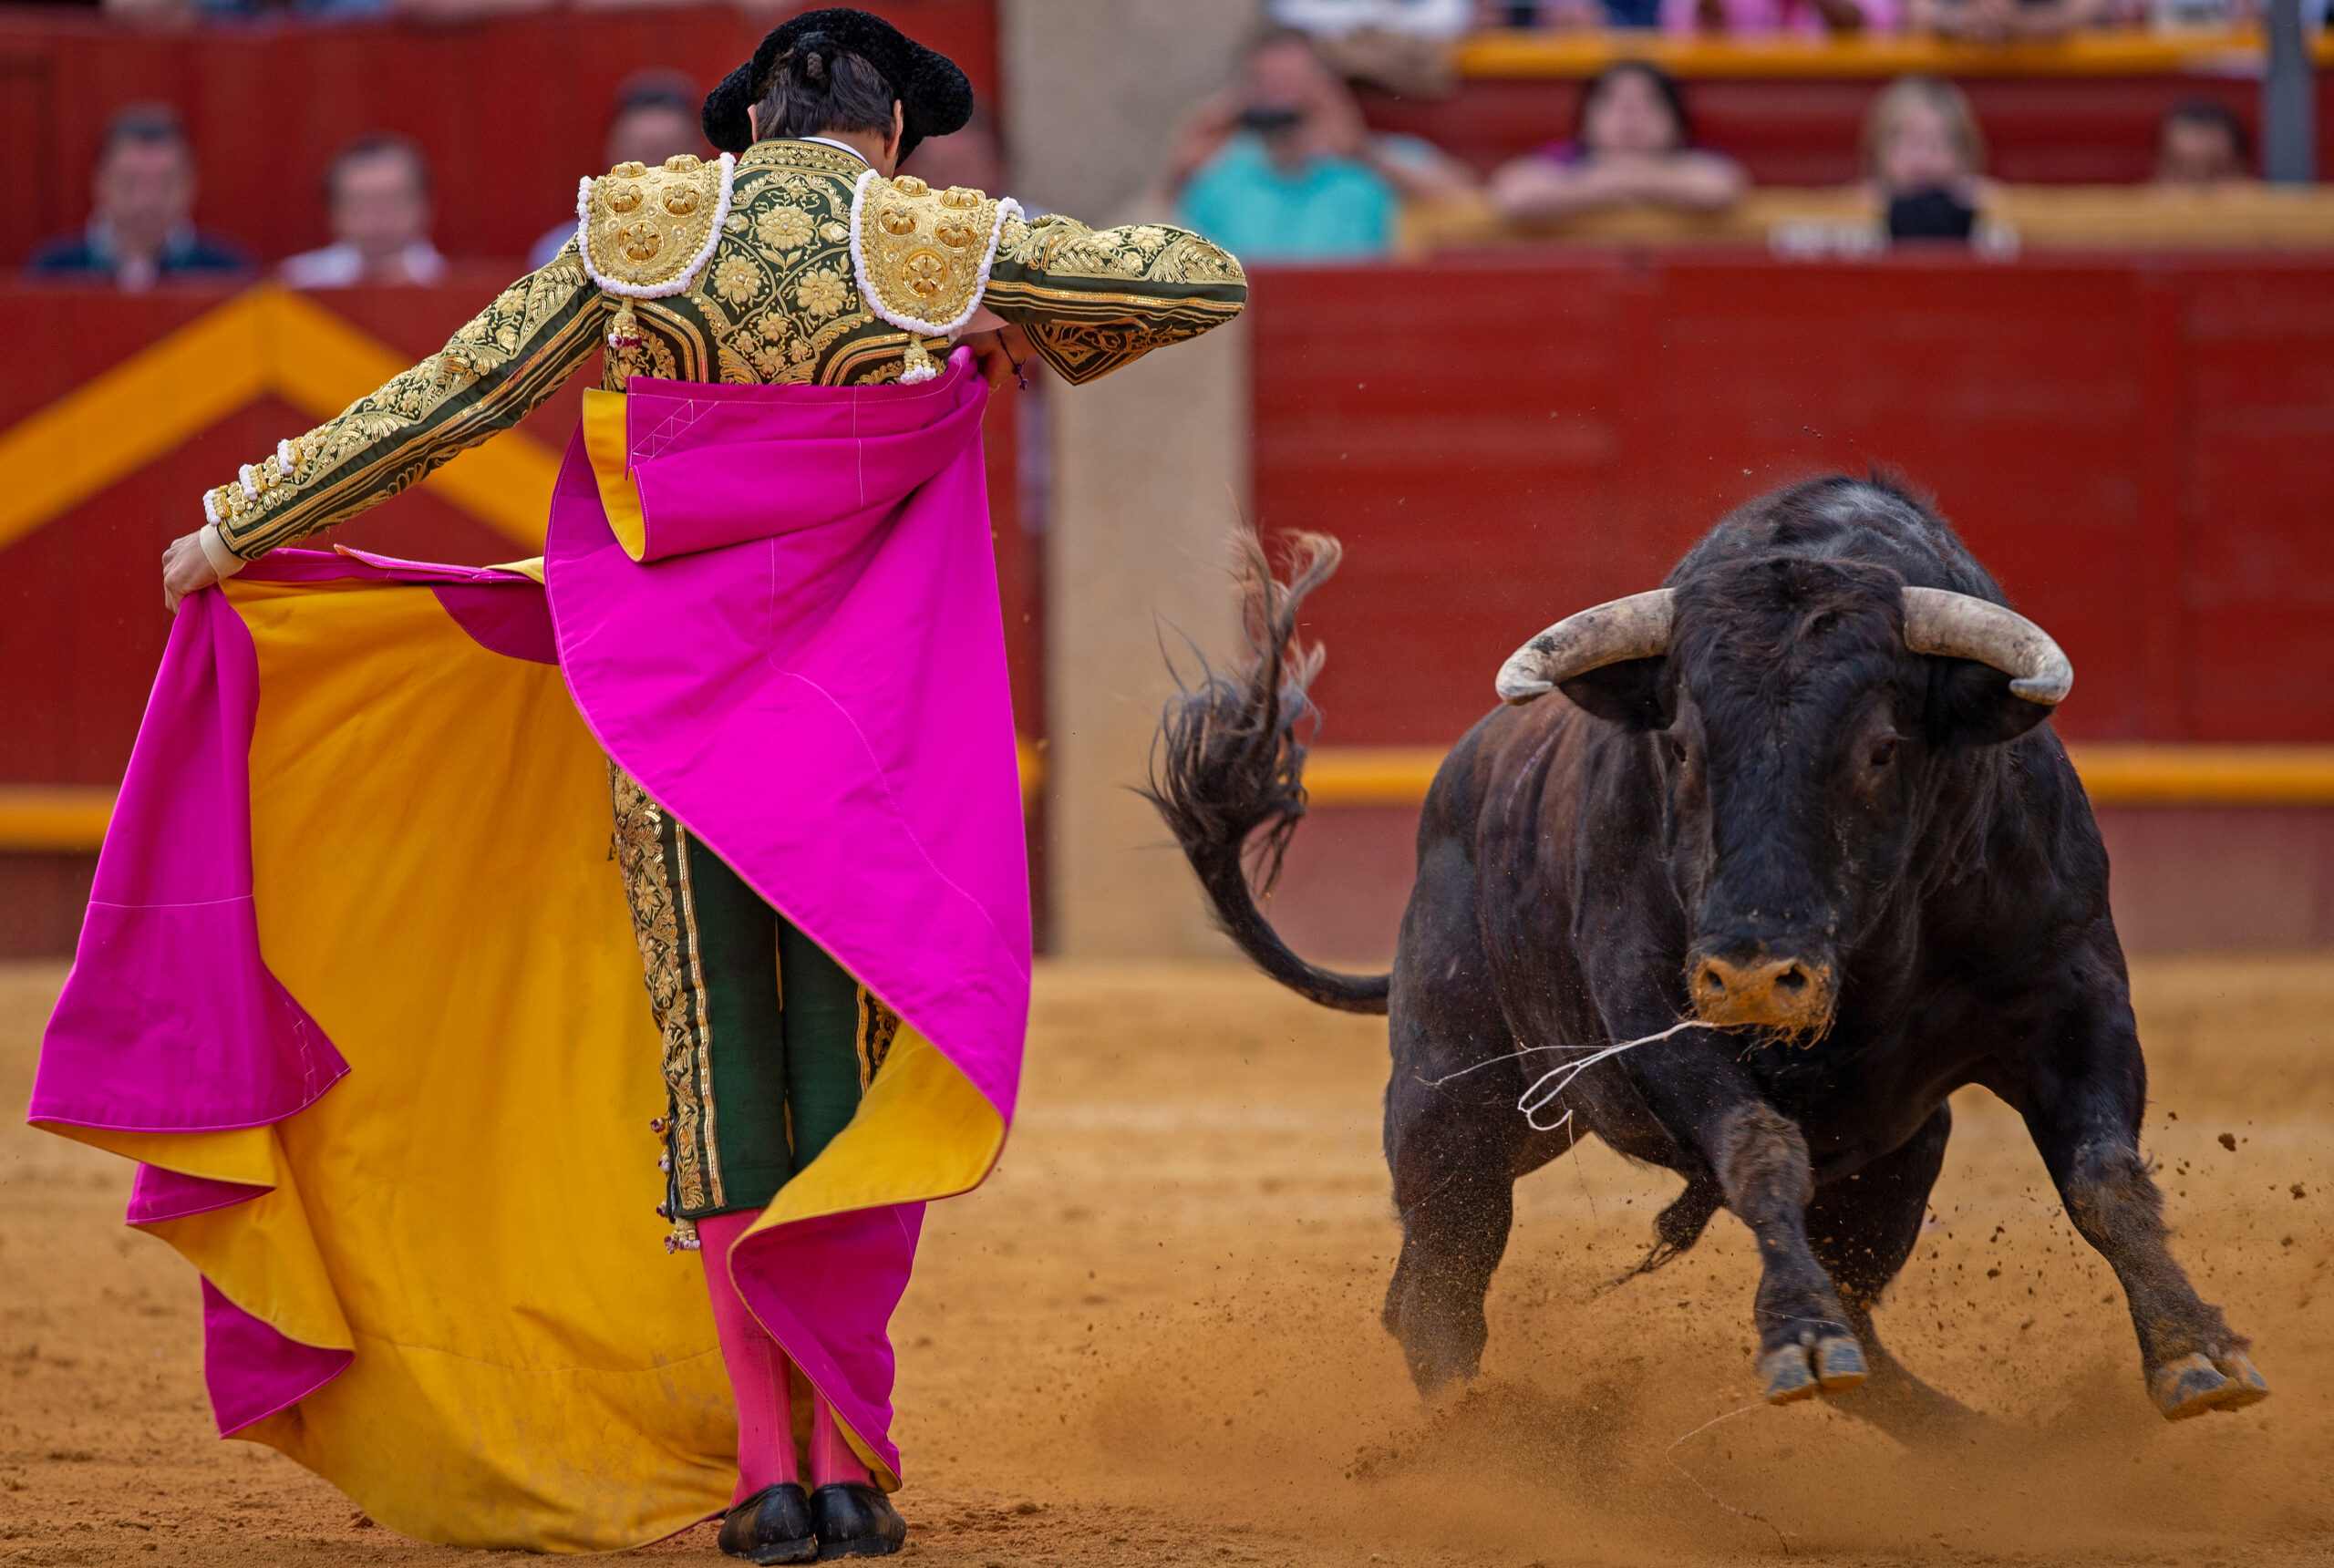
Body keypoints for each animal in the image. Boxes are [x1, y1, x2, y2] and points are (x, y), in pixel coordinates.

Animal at [1157, 478, 2268, 1437]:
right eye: (1685, 746)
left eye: (1880, 748)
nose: (1751, 977)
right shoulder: (1657, 1016)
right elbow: (1757, 1145)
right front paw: (1797, 1339)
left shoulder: (2073, 992)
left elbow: (2104, 1175)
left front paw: (2195, 1351)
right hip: (1451, 1099)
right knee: (1437, 1287)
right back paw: (1489, 1446)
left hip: (1898, 1150)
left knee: (1865, 1323)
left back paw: (1986, 1449)